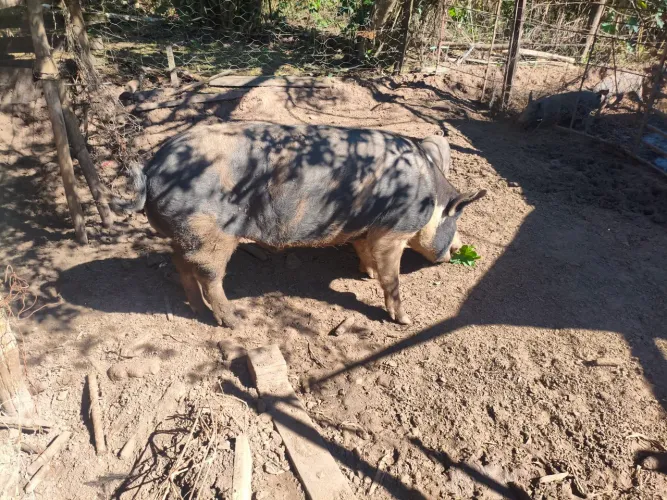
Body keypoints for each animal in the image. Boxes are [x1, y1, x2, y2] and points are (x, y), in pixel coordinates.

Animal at [112, 122, 486, 328]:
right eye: (457, 220)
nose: (455, 252)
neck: (429, 196)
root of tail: (152, 168)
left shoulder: (366, 230)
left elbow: (365, 252)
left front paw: (365, 274)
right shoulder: (393, 230)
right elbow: (392, 277)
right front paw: (406, 320)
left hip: (185, 234)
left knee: (182, 264)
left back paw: (198, 310)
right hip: (210, 232)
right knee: (209, 274)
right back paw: (234, 322)